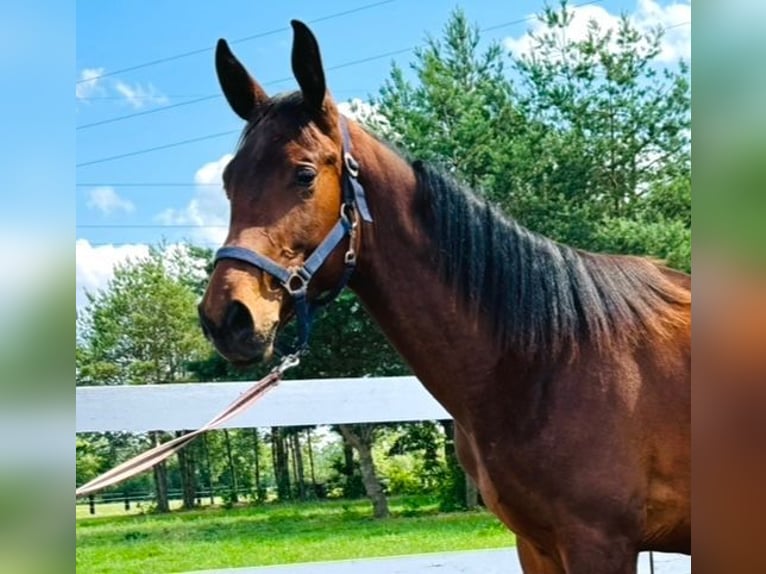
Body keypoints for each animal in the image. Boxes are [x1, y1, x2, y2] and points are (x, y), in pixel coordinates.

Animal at [196, 20, 688, 572]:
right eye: (228, 180)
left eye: (303, 174)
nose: (227, 317)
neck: (552, 358)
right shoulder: (537, 544)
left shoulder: (599, 543)